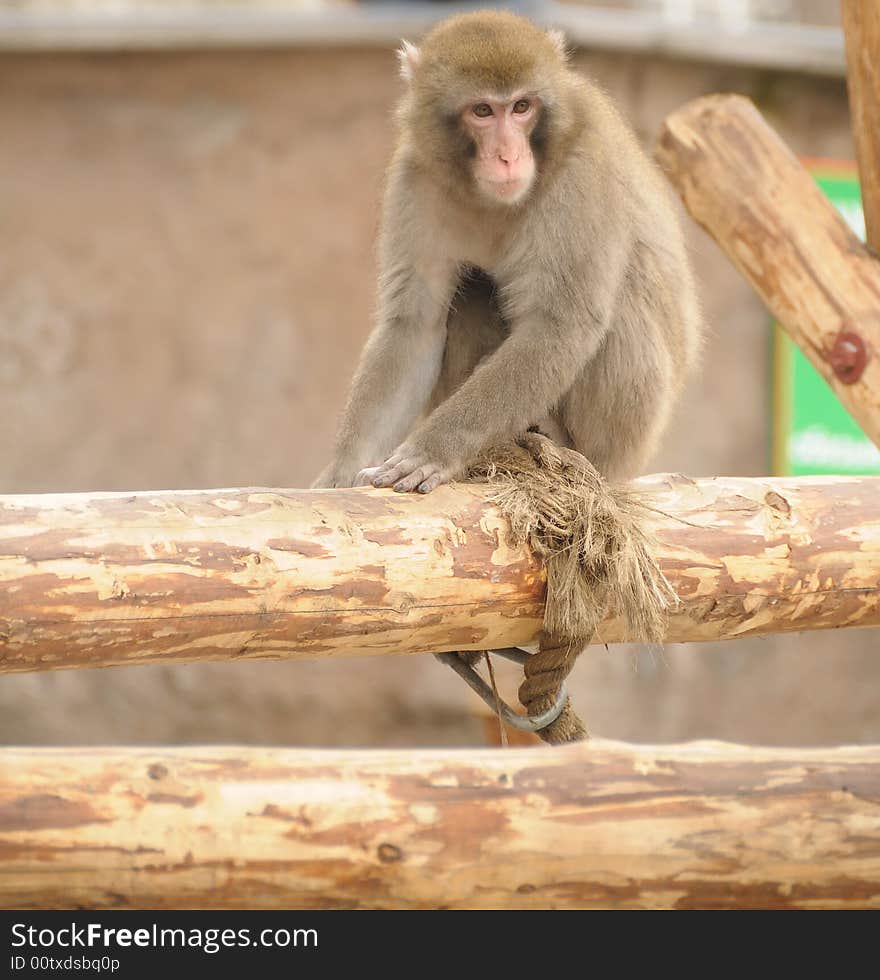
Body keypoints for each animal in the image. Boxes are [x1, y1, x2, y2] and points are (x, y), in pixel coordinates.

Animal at [310, 10, 700, 494]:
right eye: (482, 111)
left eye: (521, 107)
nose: (509, 156)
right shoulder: (414, 178)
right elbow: (414, 326)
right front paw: (340, 473)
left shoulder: (584, 170)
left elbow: (558, 326)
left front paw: (432, 450)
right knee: (471, 288)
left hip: (621, 445)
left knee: (622, 299)